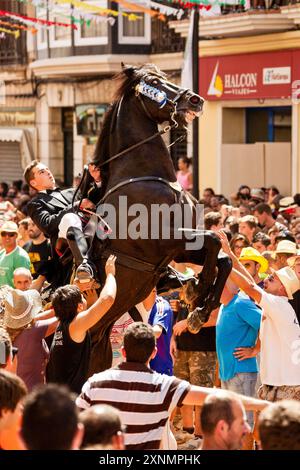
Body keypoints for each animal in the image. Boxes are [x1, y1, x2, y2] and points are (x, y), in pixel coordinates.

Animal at [88, 63, 231, 374]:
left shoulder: (179, 245)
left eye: (166, 78)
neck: (143, 174)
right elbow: (214, 241)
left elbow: (223, 259)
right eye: (154, 82)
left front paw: (200, 308)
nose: (195, 100)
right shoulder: (163, 240)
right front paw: (197, 289)